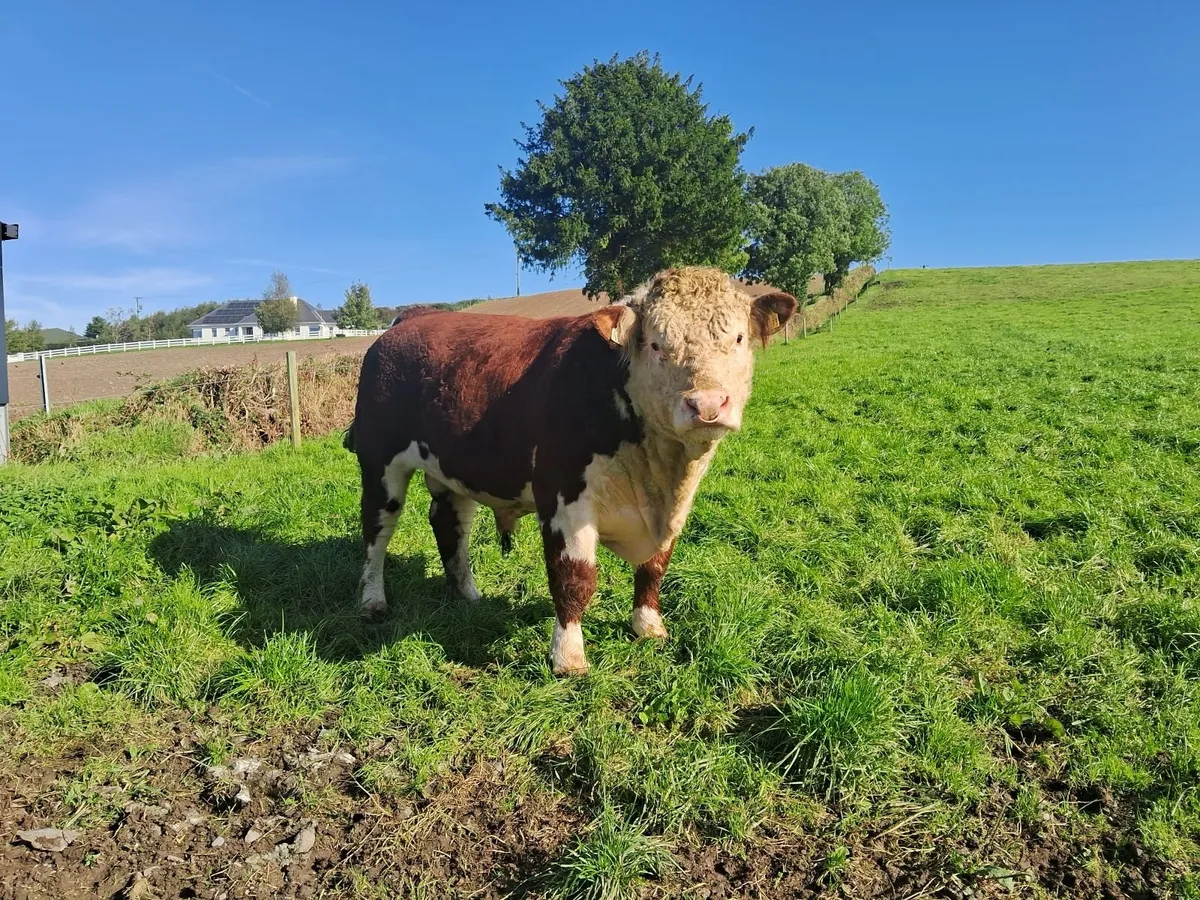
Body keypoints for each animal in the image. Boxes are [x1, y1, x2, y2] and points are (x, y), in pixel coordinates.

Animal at [345, 266, 796, 675]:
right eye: (655, 344)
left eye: (738, 339)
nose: (706, 405)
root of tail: (415, 317)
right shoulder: (564, 499)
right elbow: (574, 577)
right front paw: (568, 656)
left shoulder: (676, 507)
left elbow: (654, 567)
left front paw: (648, 626)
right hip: (380, 463)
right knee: (376, 532)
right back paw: (372, 600)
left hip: (453, 468)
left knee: (450, 525)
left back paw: (467, 593)